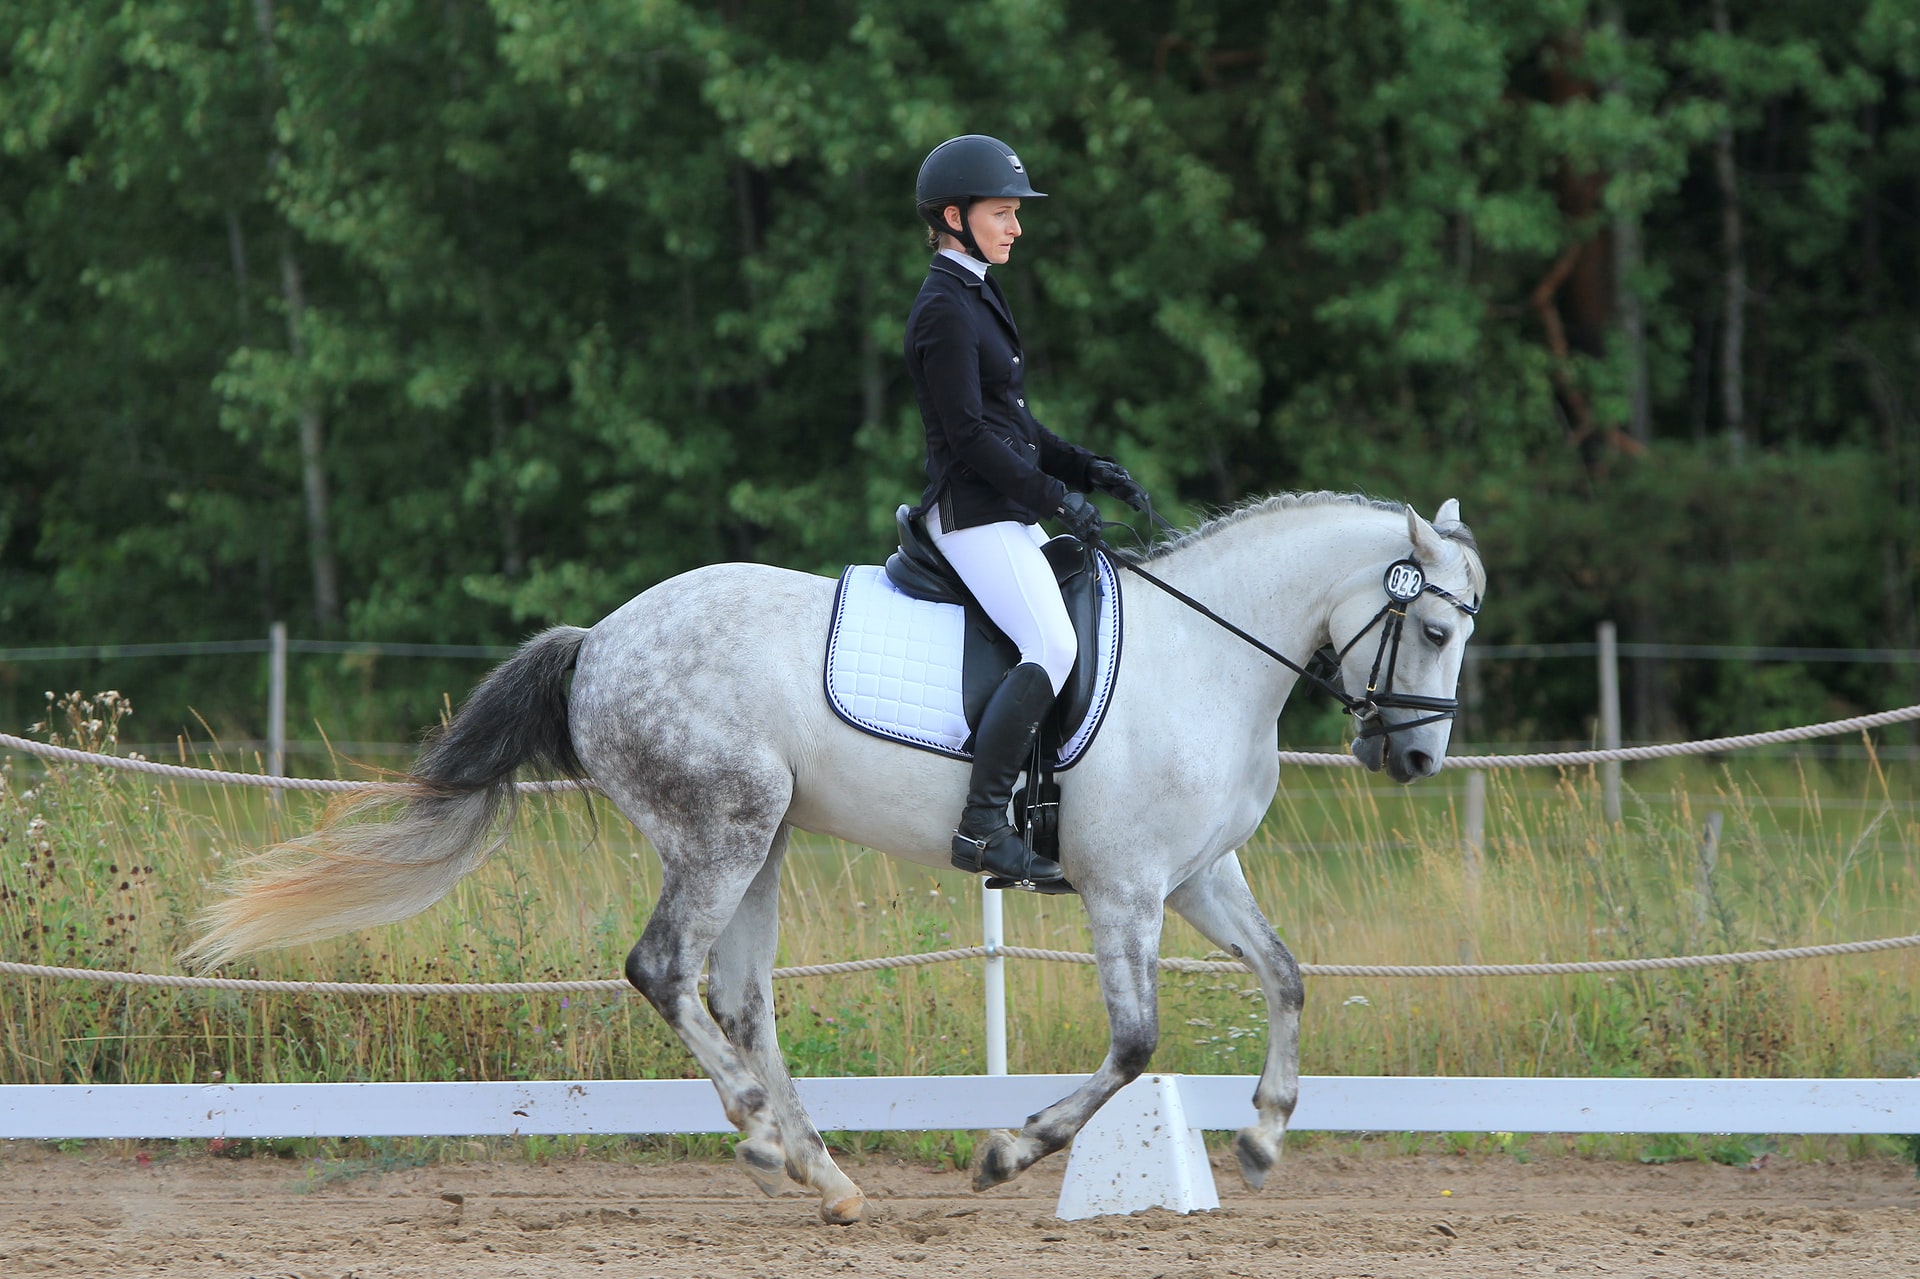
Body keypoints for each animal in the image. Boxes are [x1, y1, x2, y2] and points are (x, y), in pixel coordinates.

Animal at [184, 491, 1485, 1224]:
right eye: (1431, 625)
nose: (1416, 759)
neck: (1207, 657)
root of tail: (600, 638)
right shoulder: (1125, 891)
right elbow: (1134, 1042)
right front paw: (1009, 1151)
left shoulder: (1201, 876)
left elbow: (1287, 977)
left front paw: (1261, 1137)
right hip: (725, 829)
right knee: (664, 972)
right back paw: (767, 1139)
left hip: (762, 842)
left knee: (738, 995)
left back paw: (823, 1176)